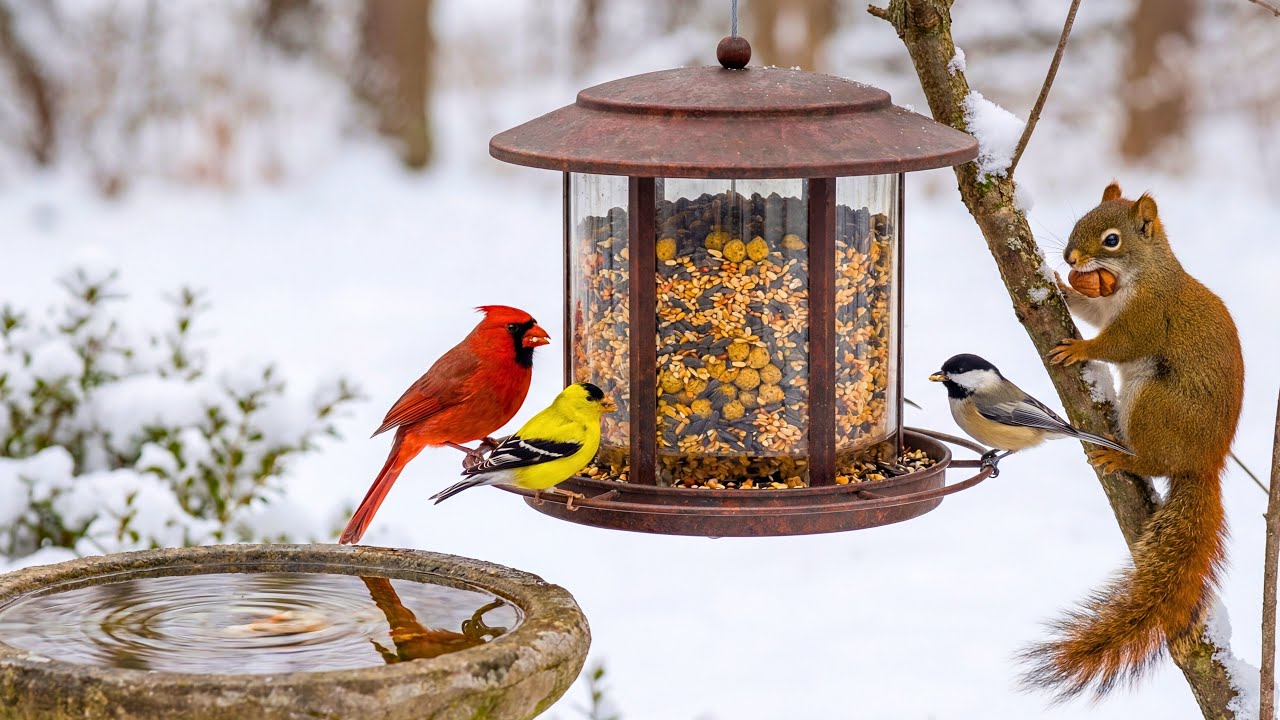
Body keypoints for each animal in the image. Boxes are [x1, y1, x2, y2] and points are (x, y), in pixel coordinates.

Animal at [1025, 181, 1245, 698]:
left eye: (1111, 241)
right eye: (1078, 221)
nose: (1070, 256)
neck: (1138, 277)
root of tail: (1204, 465)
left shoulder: (1148, 315)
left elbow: (1120, 342)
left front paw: (1081, 347)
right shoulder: (1105, 305)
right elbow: (1088, 308)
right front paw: (1060, 285)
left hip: (1152, 406)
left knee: (1152, 462)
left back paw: (1121, 459)